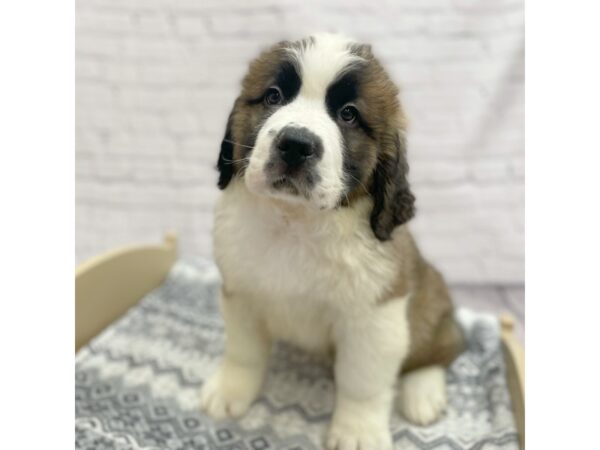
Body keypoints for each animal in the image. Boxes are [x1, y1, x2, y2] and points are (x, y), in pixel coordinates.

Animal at [200, 33, 464, 448]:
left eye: (349, 115)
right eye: (274, 96)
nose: (295, 144)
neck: (296, 222)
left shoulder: (375, 317)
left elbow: (362, 382)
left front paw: (358, 431)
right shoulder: (241, 293)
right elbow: (243, 351)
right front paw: (231, 390)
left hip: (428, 304)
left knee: (440, 350)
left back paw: (423, 392)